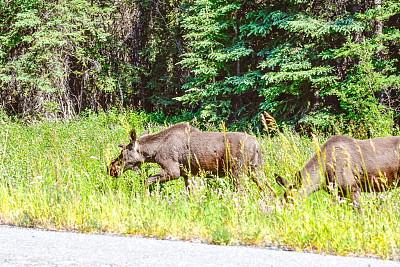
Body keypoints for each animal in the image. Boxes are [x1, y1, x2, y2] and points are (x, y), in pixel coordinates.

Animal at [108, 122, 268, 192]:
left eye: (122, 154)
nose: (112, 168)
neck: (153, 152)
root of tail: (257, 145)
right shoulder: (187, 174)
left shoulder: (173, 171)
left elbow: (147, 181)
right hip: (256, 170)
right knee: (267, 189)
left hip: (237, 171)